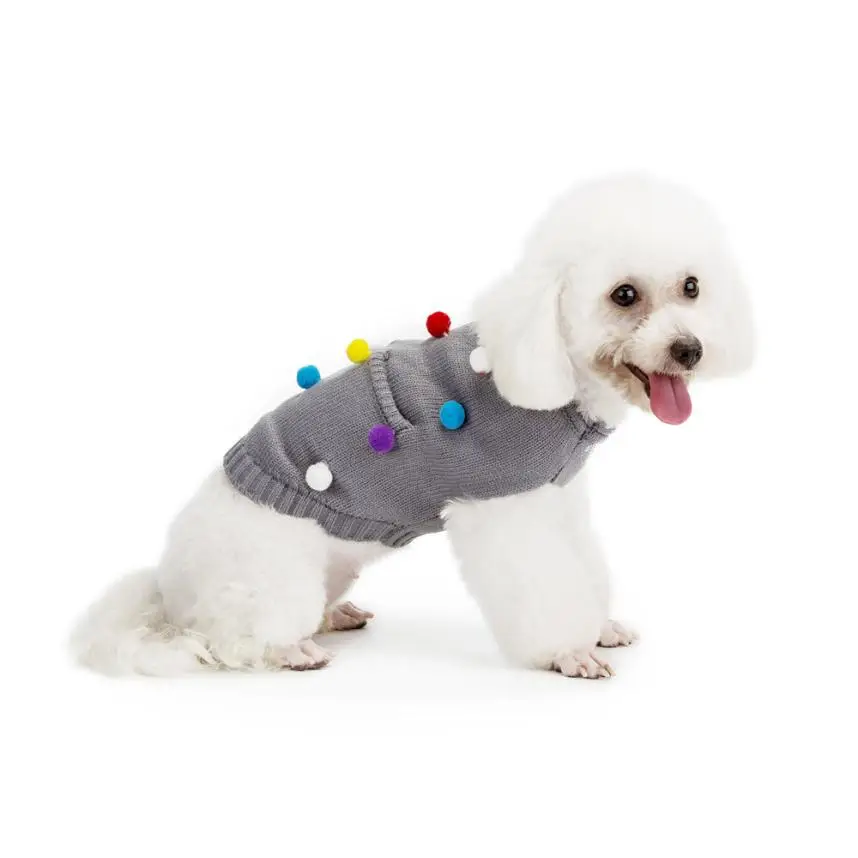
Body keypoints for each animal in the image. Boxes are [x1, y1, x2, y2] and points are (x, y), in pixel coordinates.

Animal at [72, 174, 754, 678]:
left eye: (692, 287)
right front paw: (570, 649)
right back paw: (289, 648)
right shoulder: (506, 509)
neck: (550, 364)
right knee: (232, 638)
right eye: (623, 295)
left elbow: (585, 565)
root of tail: (168, 589)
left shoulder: (555, 498)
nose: (690, 350)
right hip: (264, 576)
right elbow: (545, 587)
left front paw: (600, 625)